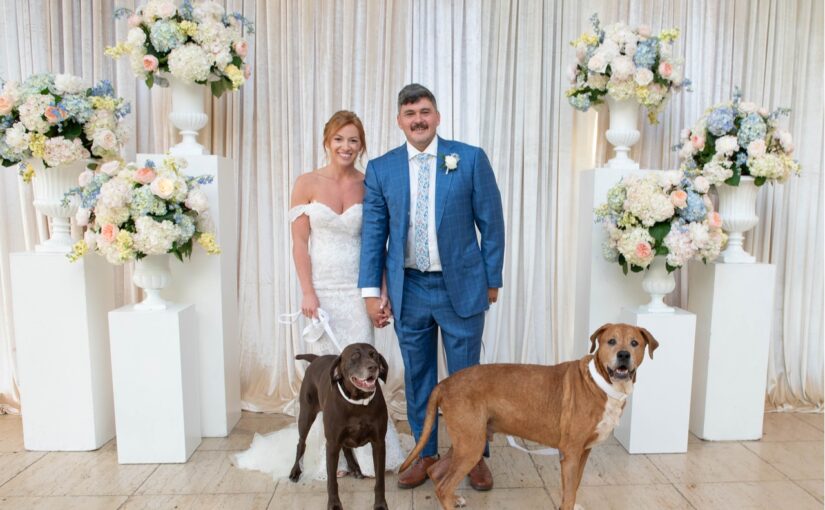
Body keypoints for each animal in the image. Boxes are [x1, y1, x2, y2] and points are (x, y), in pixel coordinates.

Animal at [396, 324, 660, 508]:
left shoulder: (583, 453)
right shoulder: (571, 454)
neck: (601, 383)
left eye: (635, 343)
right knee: (442, 485)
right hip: (471, 445)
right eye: (611, 341)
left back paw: (454, 497)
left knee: (436, 472)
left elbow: (573, 488)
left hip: (468, 440)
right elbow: (568, 494)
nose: (624, 355)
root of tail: (445, 383)